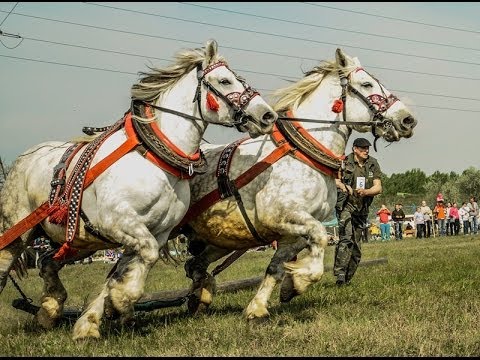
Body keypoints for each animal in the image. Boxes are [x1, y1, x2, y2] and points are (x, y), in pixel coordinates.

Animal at [0, 40, 278, 340]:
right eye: (225, 81)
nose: (267, 115)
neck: (154, 160)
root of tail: (24, 158)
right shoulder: (119, 223)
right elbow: (140, 262)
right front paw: (119, 303)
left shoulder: (158, 231)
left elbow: (126, 269)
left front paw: (103, 314)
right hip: (19, 230)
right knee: (7, 265)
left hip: (79, 240)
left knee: (48, 262)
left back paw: (50, 309)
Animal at [175, 47, 416, 320]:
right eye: (367, 84)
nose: (408, 120)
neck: (302, 154)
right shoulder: (282, 216)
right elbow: (320, 240)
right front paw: (301, 278)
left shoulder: (293, 233)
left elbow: (276, 267)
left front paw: (262, 303)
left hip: (223, 237)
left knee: (195, 264)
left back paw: (200, 297)